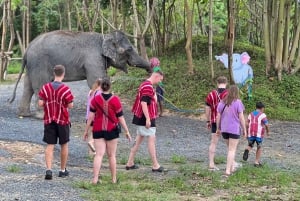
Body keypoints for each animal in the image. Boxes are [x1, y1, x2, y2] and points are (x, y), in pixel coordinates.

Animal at [9, 29, 151, 116]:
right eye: (129, 49)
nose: (150, 70)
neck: (104, 37)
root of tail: (27, 49)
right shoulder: (93, 57)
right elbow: (96, 80)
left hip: (32, 65)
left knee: (28, 86)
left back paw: (24, 114)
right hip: (39, 63)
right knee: (40, 85)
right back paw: (41, 115)